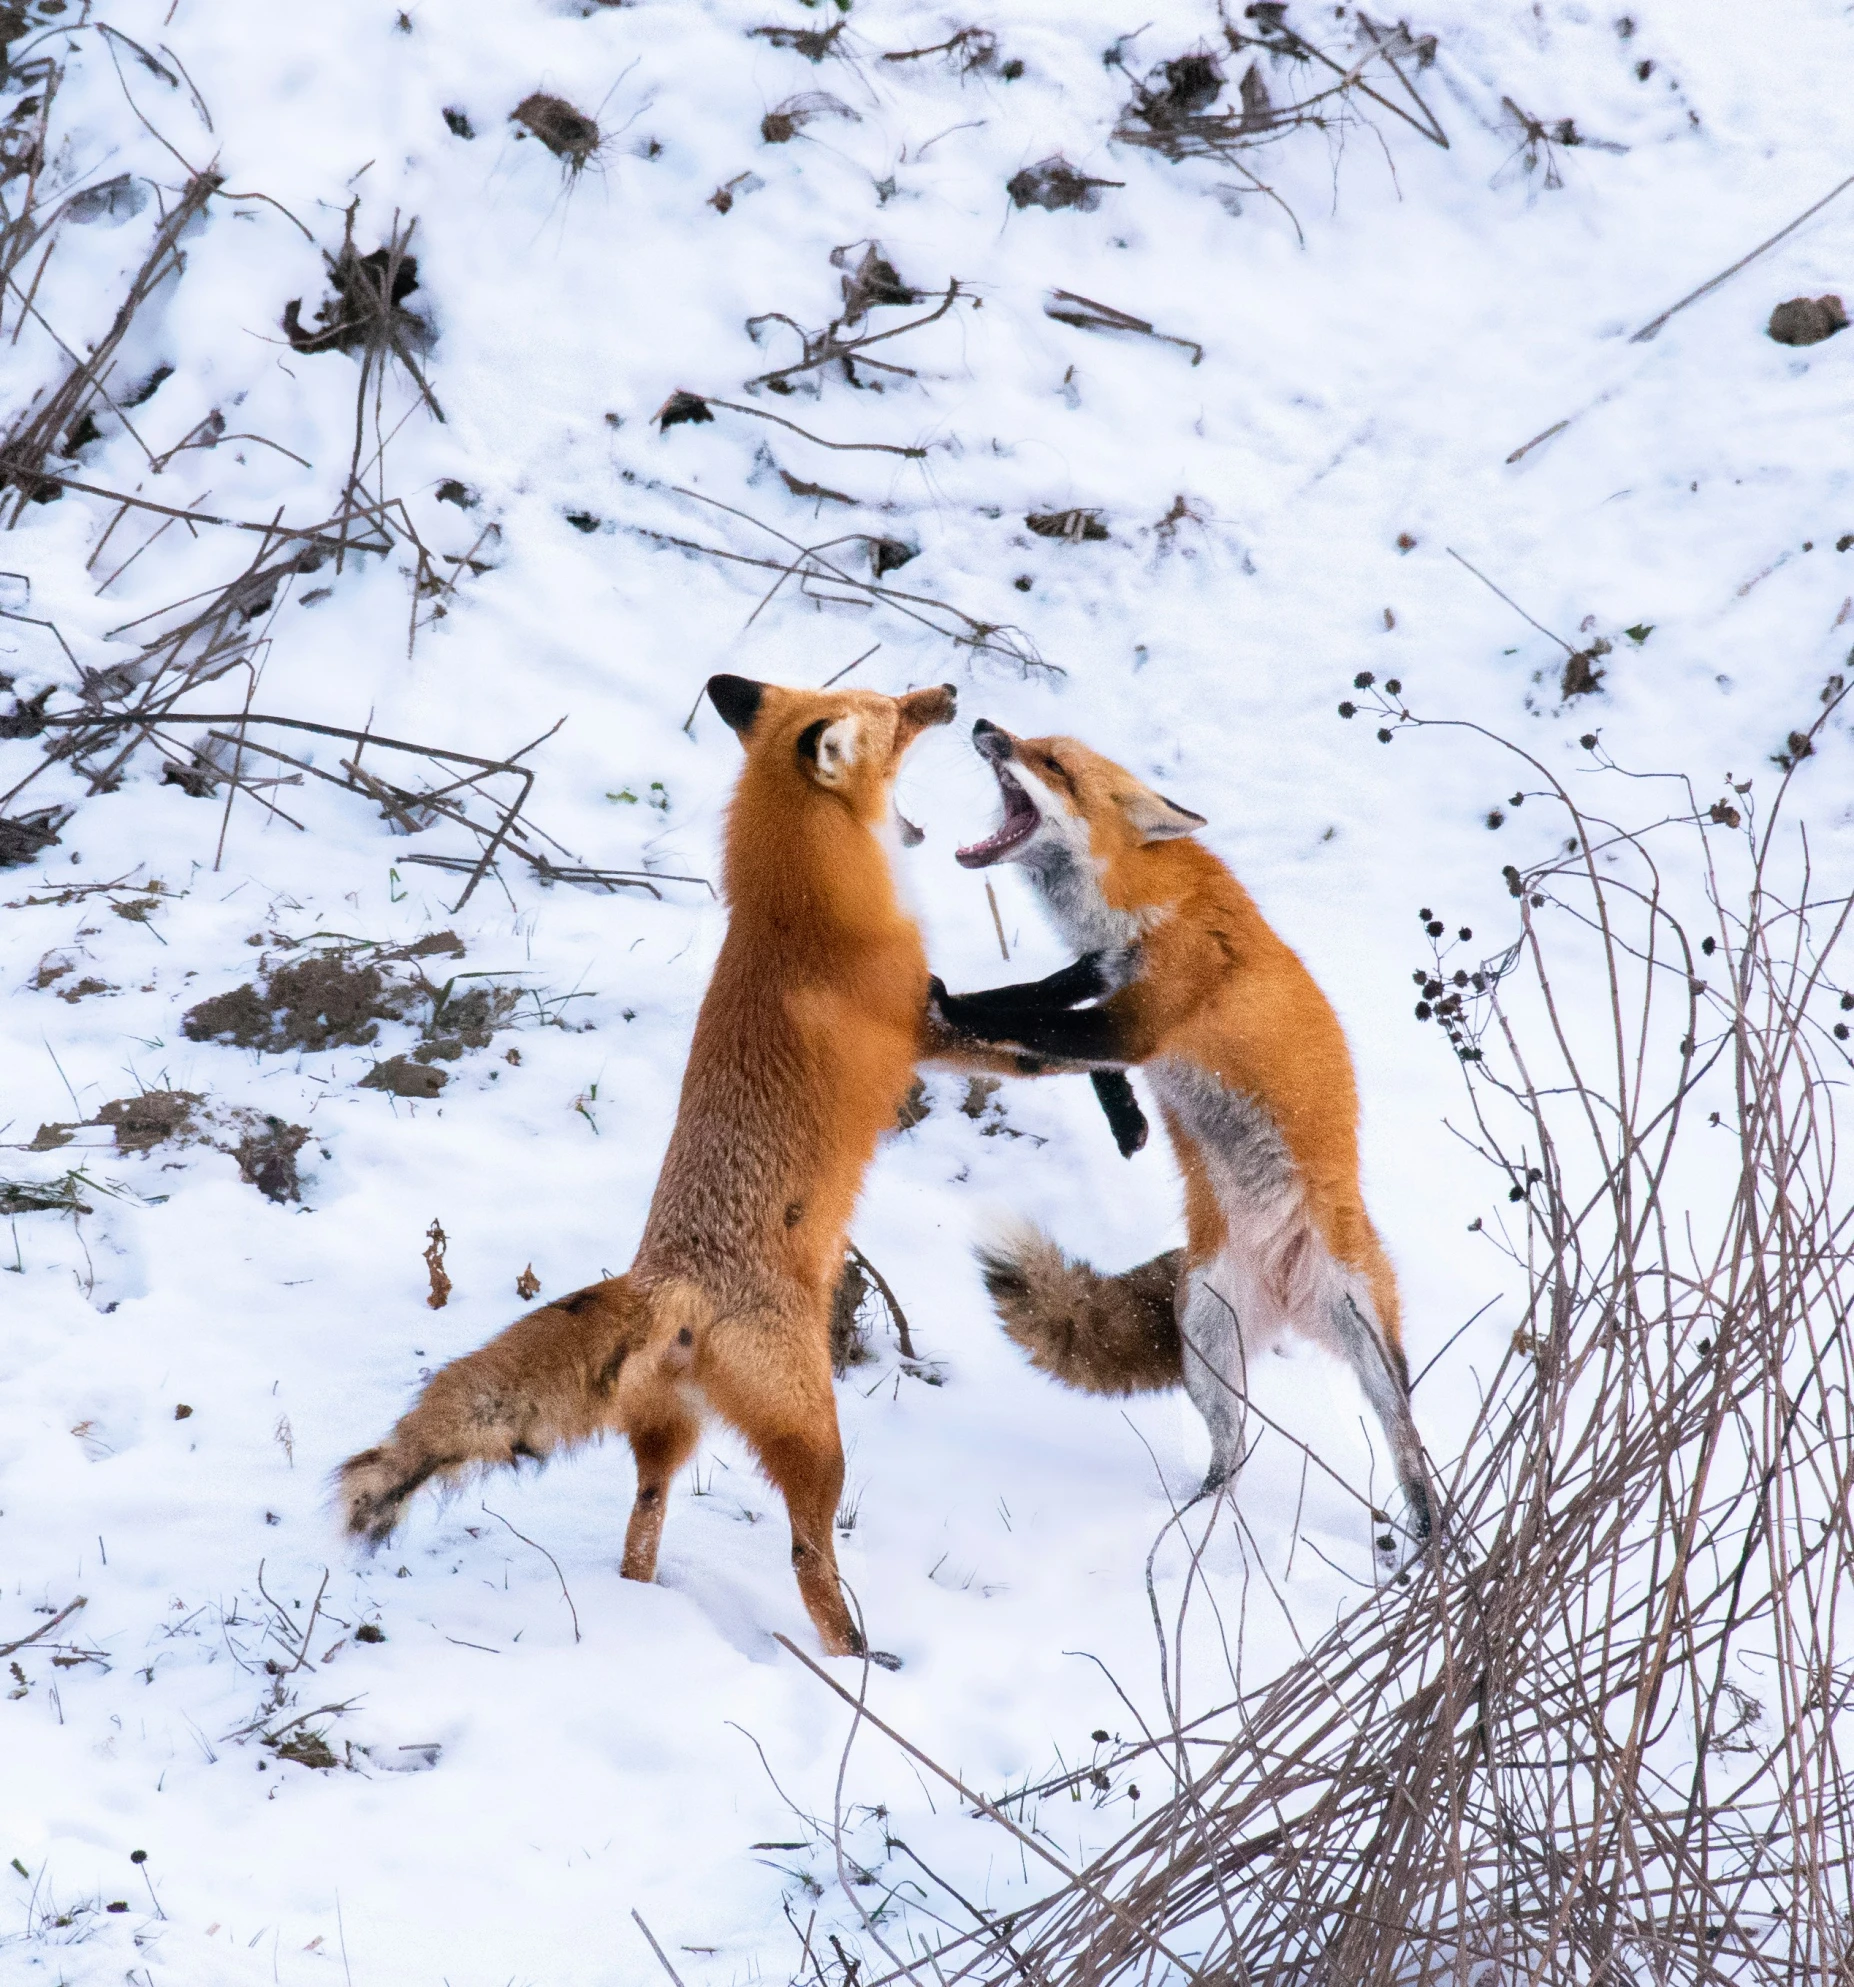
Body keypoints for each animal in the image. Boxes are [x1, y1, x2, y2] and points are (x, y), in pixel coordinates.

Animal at [333, 675, 961, 1653]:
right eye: (896, 713)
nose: (952, 693)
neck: (797, 912)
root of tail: (667, 1277)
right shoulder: (931, 1028)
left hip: (670, 1442)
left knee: (641, 1530)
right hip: (817, 1437)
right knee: (806, 1555)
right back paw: (855, 1656)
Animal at [926, 715, 1430, 1533]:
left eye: (1053, 764)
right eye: (1035, 744)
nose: (984, 724)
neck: (1146, 906)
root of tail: (1287, 1299)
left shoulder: (1142, 1020)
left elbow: (1031, 1021)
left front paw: (942, 1002)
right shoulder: (1108, 990)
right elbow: (1038, 1013)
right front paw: (1126, 1120)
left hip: (1373, 1351)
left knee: (1408, 1449)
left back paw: (1432, 1539)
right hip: (1206, 1350)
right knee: (1235, 1449)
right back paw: (1199, 1523)